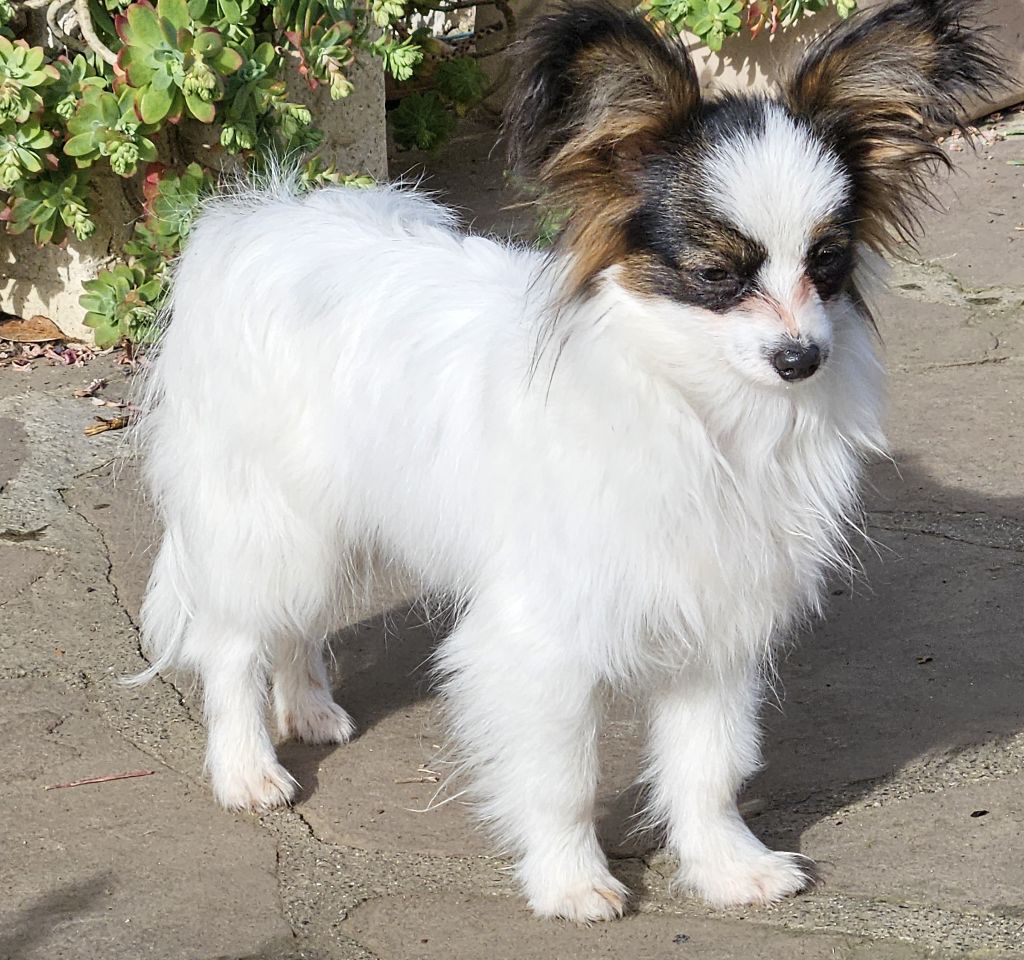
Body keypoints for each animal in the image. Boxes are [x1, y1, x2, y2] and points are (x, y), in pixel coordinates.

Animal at [136, 0, 1002, 922]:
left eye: (828, 262)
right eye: (716, 274)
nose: (801, 358)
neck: (698, 408)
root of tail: (256, 222)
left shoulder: (715, 622)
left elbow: (709, 768)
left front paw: (727, 869)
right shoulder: (540, 640)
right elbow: (561, 778)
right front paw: (570, 881)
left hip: (329, 520)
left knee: (296, 621)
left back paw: (306, 710)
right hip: (271, 522)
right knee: (234, 640)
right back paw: (247, 769)